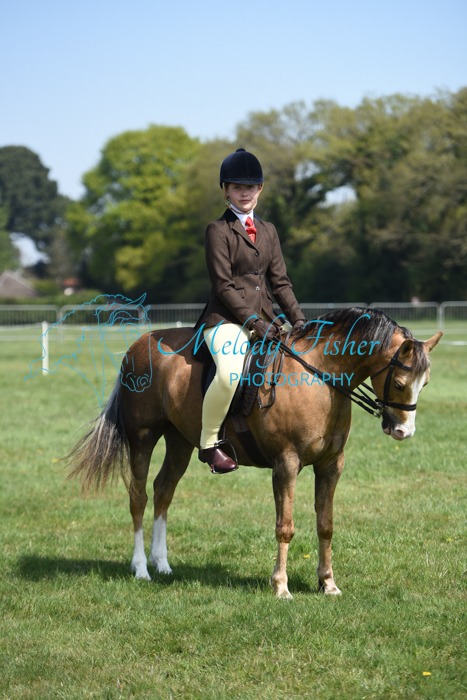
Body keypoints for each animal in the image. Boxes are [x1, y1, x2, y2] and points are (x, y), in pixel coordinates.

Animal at [68, 308, 442, 599]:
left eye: (424, 384)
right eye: (399, 383)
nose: (403, 431)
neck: (320, 378)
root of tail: (137, 346)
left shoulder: (331, 465)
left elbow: (326, 525)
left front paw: (328, 584)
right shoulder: (286, 464)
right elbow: (285, 526)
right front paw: (281, 587)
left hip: (179, 442)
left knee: (163, 492)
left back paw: (162, 564)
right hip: (143, 438)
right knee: (139, 496)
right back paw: (141, 569)